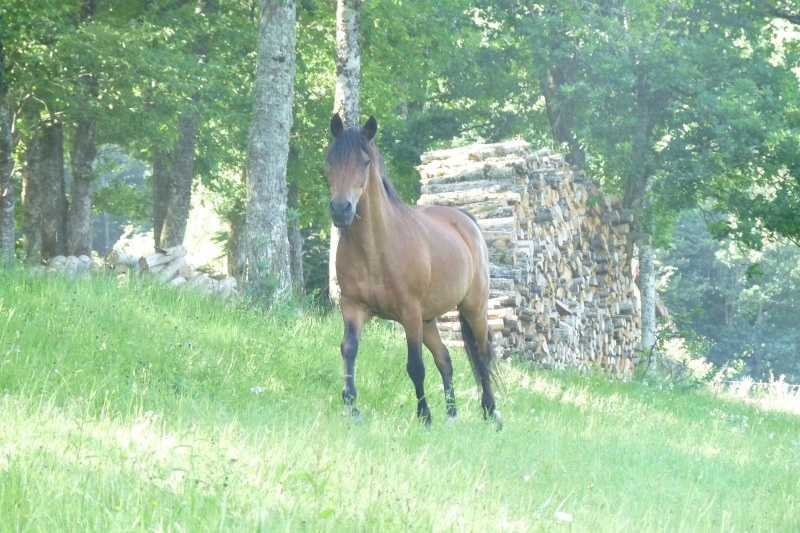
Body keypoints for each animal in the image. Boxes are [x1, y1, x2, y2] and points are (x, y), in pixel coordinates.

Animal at [324, 113, 500, 428]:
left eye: (365, 162)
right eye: (330, 160)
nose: (341, 209)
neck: (375, 249)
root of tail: (466, 221)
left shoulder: (409, 314)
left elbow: (415, 366)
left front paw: (424, 416)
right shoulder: (353, 308)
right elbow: (349, 349)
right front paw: (352, 407)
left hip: (472, 308)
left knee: (482, 355)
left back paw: (490, 412)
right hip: (429, 320)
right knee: (445, 359)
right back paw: (452, 414)